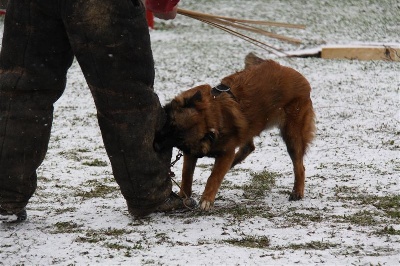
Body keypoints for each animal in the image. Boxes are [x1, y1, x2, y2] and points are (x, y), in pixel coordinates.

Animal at [155, 53, 314, 211]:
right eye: (171, 124)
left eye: (179, 138)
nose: (155, 143)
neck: (210, 116)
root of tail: (296, 75)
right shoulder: (192, 154)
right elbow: (187, 175)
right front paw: (183, 197)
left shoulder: (226, 152)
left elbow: (214, 176)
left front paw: (206, 200)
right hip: (249, 128)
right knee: (249, 147)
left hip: (292, 136)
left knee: (299, 166)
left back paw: (297, 191)